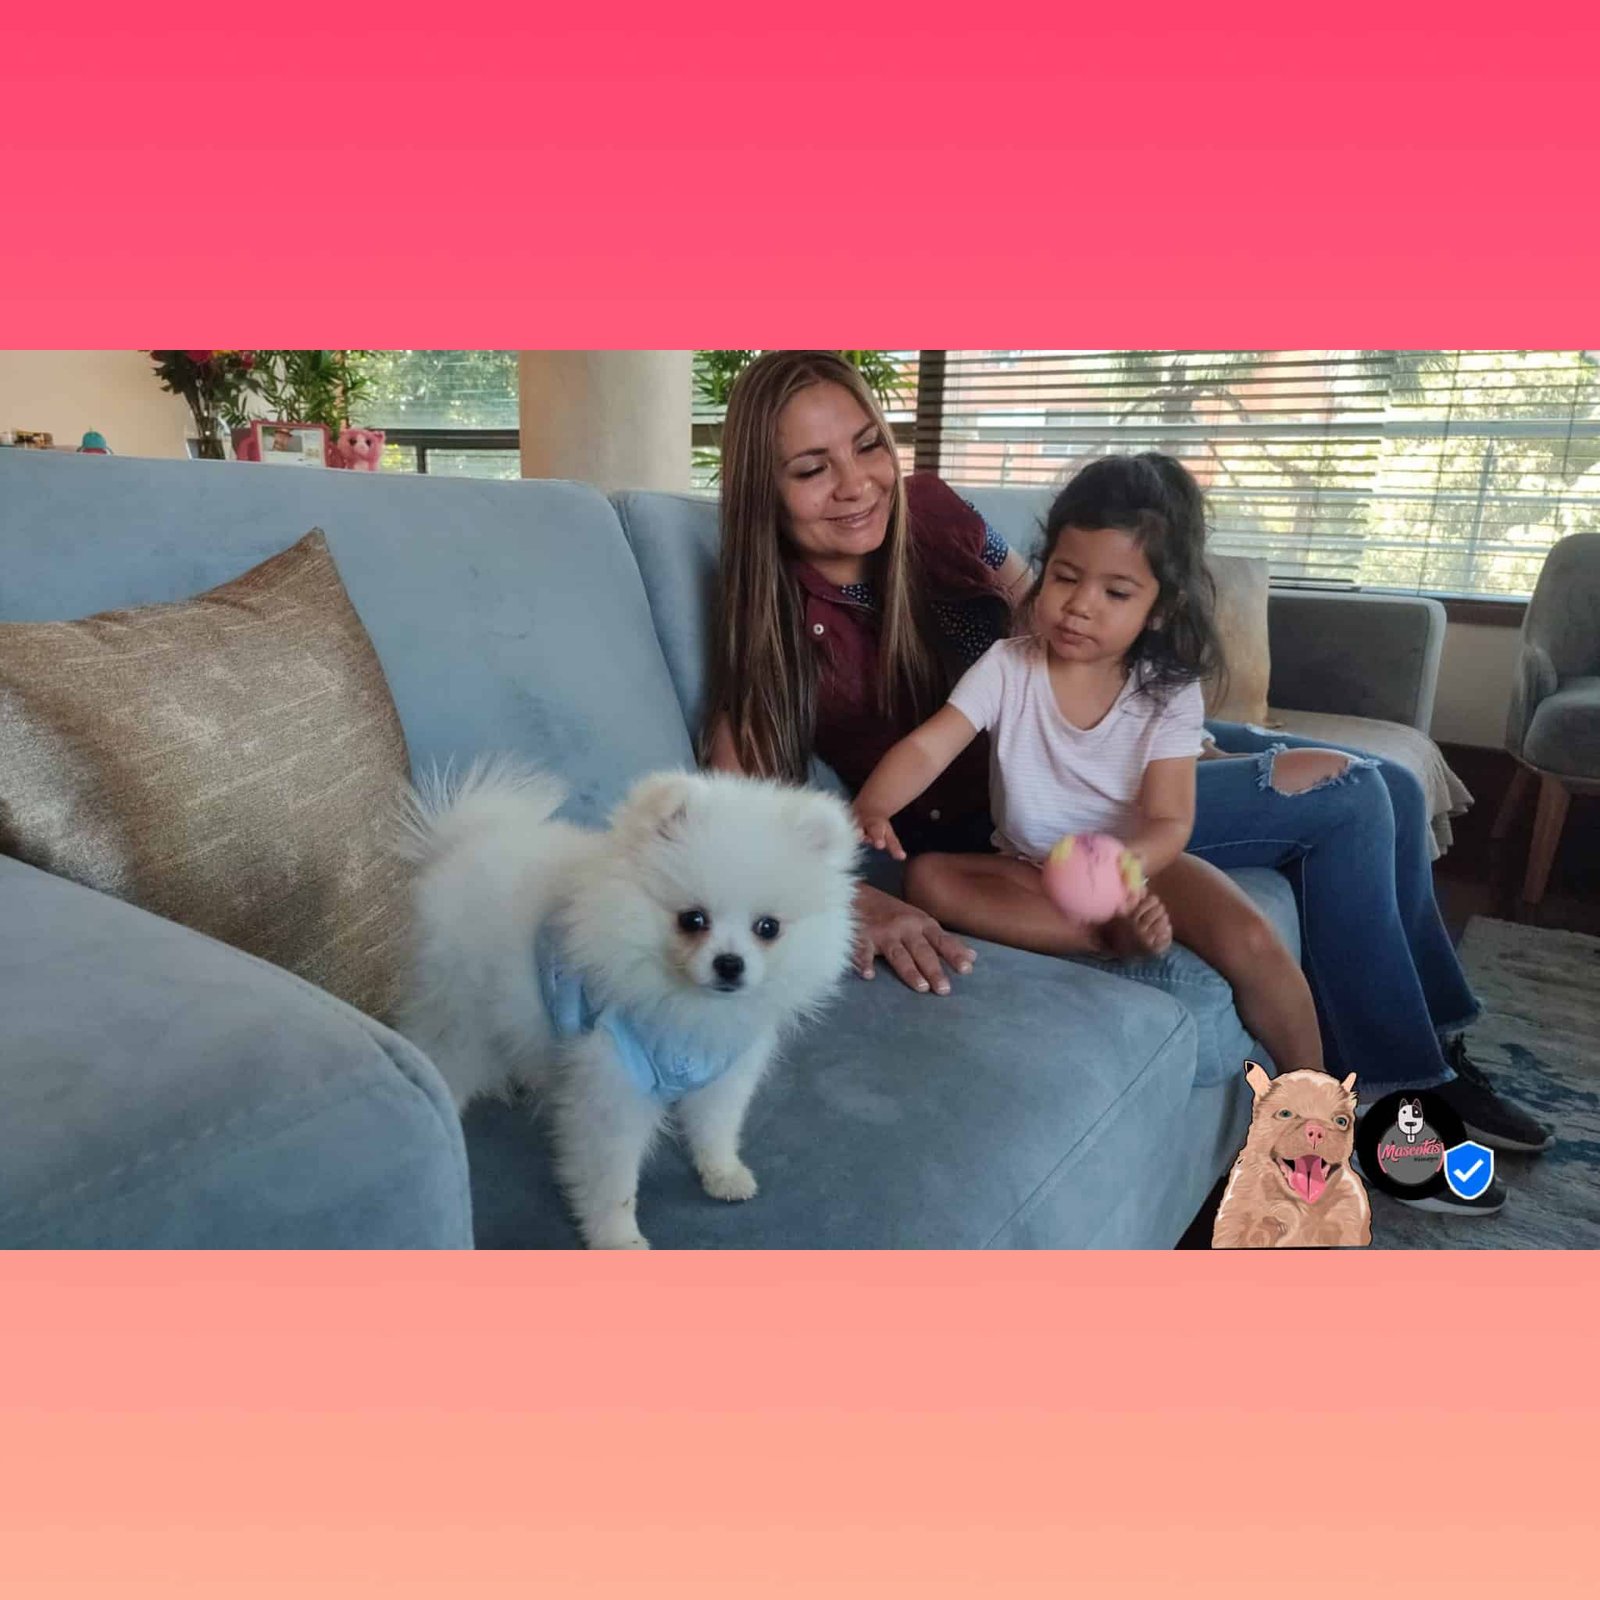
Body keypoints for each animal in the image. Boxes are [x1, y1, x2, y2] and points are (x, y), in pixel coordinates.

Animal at [396, 760, 859, 1249]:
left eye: (768, 927)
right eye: (692, 919)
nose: (730, 964)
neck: (687, 1008)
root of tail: (462, 840)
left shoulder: (723, 1072)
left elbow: (715, 1126)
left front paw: (723, 1173)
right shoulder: (614, 1085)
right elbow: (612, 1179)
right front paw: (617, 1239)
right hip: (459, 1010)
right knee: (445, 1057)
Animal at [1212, 1063, 1372, 1248]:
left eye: (1341, 1121)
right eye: (1285, 1114)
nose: (1316, 1130)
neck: (1302, 1205)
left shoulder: (1350, 1217)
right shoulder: (1236, 1220)